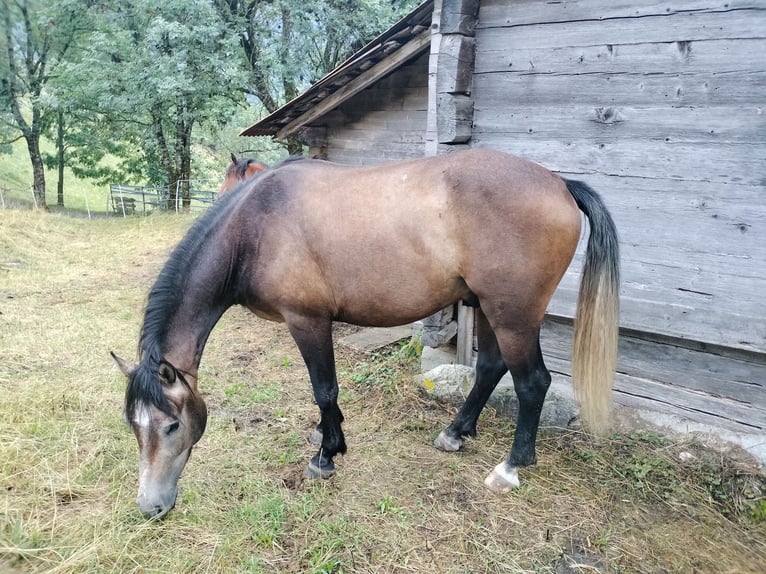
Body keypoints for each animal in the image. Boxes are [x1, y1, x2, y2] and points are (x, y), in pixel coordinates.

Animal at [112, 148, 620, 519]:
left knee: (532, 383)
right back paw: (455, 432)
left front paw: (326, 456)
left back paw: (511, 467)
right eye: (132, 426)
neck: (254, 227)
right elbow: (325, 395)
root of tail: (558, 183)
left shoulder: (308, 320)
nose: (150, 507)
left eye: (171, 425)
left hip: (512, 314)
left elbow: (324, 388)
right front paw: (324, 435)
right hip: (487, 307)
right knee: (492, 367)